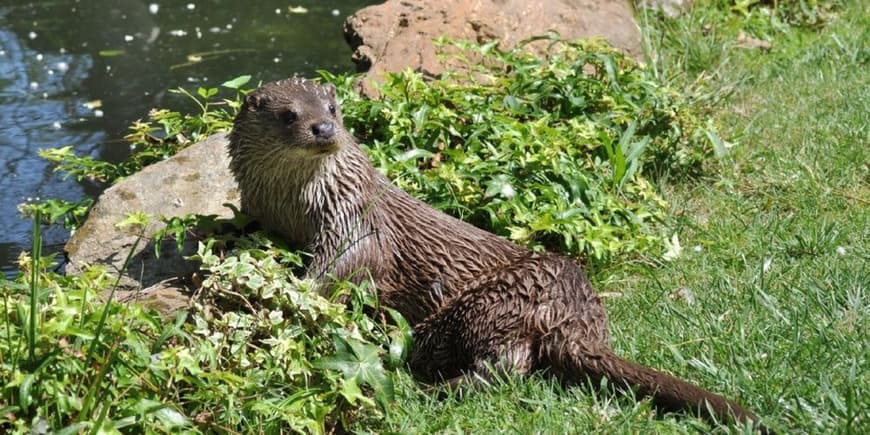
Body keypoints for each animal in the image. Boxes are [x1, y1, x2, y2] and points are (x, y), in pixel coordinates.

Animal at [230, 78, 768, 432]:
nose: (323, 128)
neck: (298, 207)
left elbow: (336, 269)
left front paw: (290, 294)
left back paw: (429, 389)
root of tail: (577, 312)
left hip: (487, 303)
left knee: (507, 367)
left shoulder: (353, 224)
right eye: (289, 114)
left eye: (334, 107)